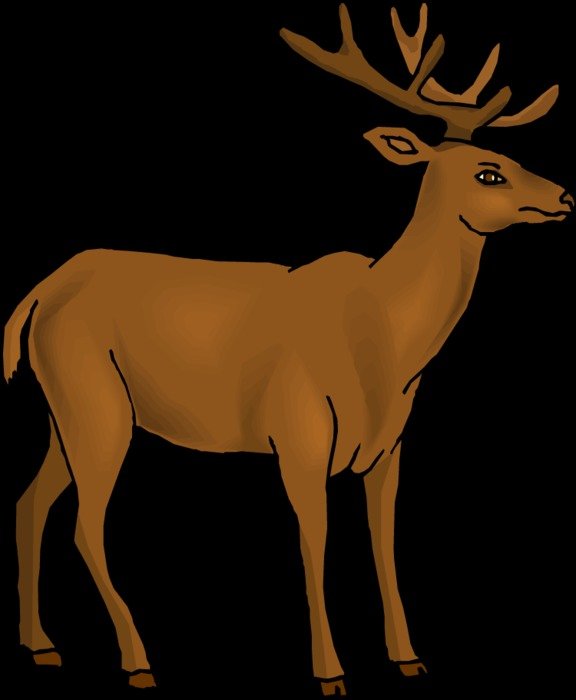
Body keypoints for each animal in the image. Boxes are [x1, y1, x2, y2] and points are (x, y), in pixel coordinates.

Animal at [4, 2, 572, 695]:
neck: (388, 350)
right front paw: (330, 673)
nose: (566, 196)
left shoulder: (390, 445)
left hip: (64, 407)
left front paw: (408, 657)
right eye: (488, 171)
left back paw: (40, 645)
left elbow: (384, 541)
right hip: (96, 399)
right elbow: (315, 543)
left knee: (30, 501)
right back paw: (138, 661)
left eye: (510, 155)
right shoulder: (298, 430)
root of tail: (38, 293)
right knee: (87, 525)